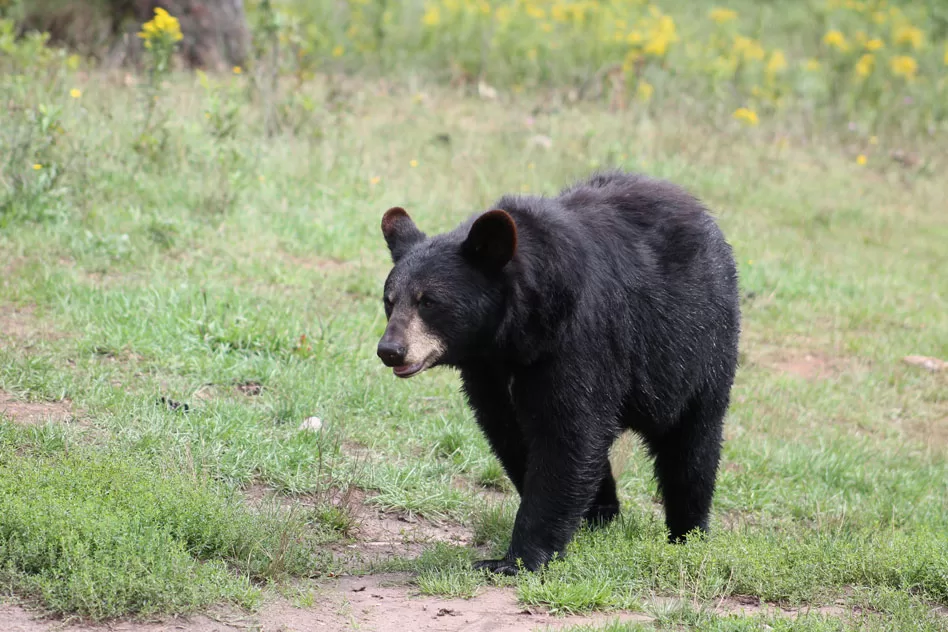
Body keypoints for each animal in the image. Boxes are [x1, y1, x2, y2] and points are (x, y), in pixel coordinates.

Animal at [376, 169, 741, 575]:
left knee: (692, 443)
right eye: (389, 301)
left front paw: (515, 559)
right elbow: (512, 434)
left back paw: (688, 532)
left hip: (696, 347)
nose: (390, 350)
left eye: (429, 301)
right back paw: (603, 513)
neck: (517, 334)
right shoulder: (488, 372)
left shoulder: (580, 339)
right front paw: (581, 521)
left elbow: (568, 434)